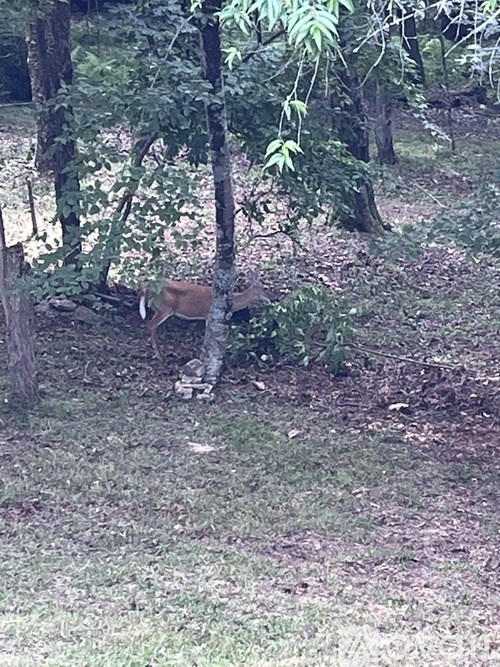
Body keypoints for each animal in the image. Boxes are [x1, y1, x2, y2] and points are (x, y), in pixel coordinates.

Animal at [139, 271, 269, 359]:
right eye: (265, 288)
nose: (272, 298)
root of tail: (146, 287)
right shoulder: (208, 315)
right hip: (164, 308)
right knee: (151, 325)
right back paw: (160, 355)